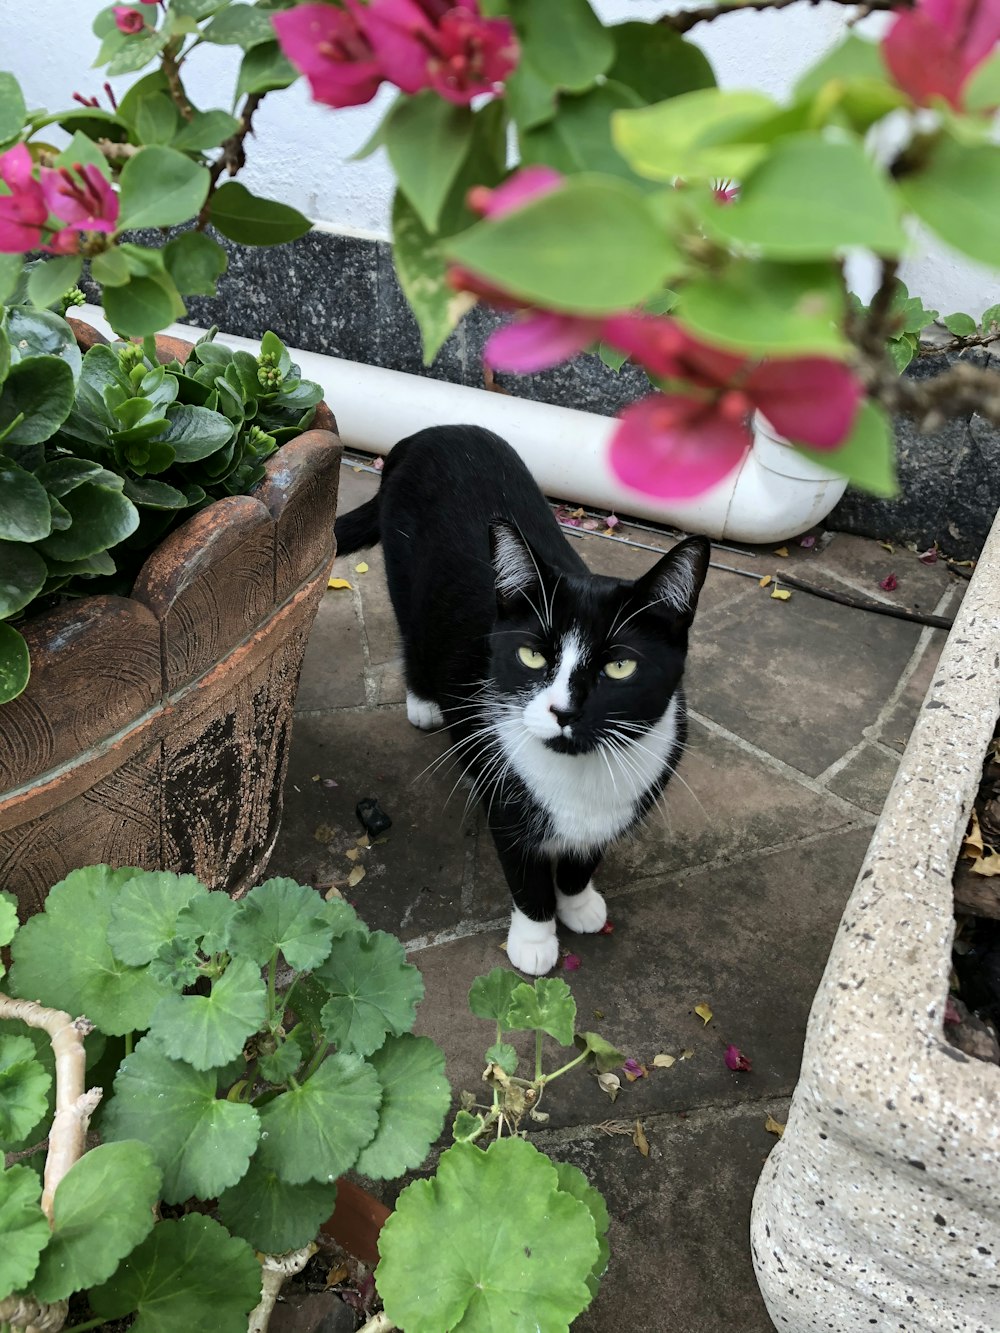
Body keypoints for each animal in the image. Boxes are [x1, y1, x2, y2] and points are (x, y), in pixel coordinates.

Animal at [337, 421, 714, 975]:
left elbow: (583, 858)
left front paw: (579, 903)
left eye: (619, 666)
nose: (564, 710)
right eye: (533, 656)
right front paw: (535, 941)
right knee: (412, 627)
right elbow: (525, 871)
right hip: (403, 570)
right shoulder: (505, 796)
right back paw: (424, 703)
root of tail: (426, 434)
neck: (578, 773)